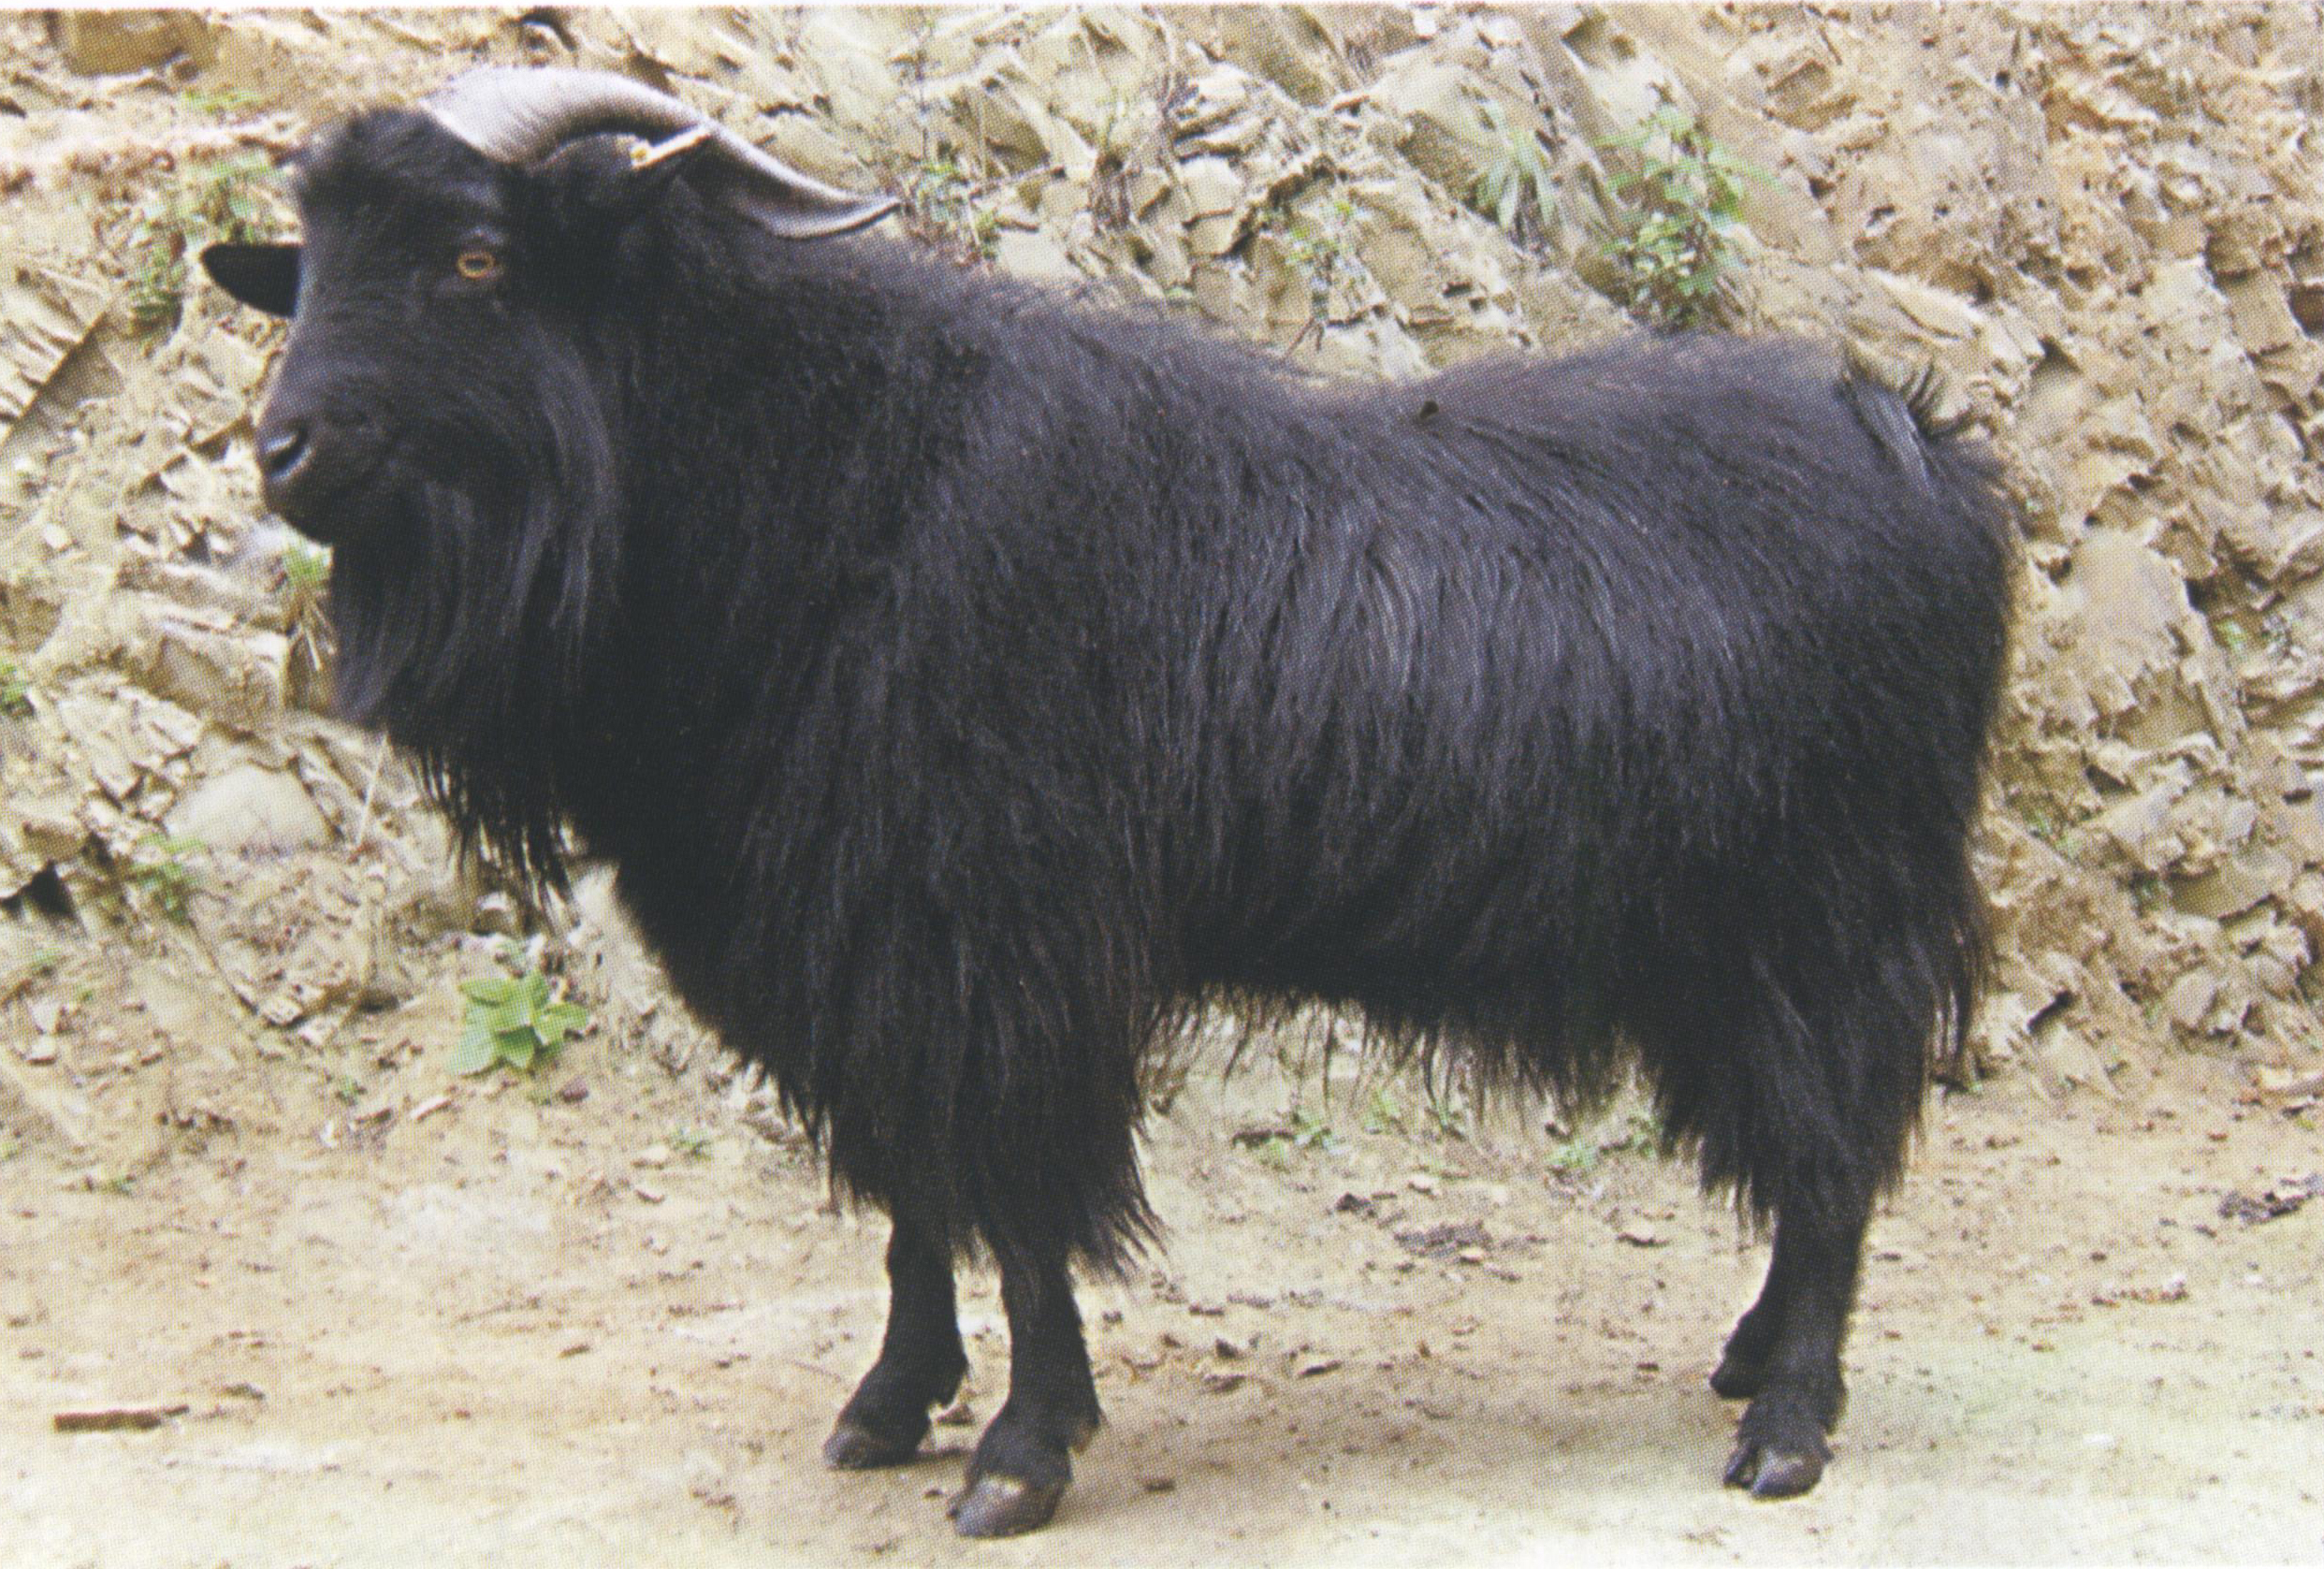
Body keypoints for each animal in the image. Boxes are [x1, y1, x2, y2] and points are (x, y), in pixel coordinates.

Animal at [204, 66, 2016, 1537]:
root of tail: (1916, 442)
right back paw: (1746, 1360)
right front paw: (889, 1404)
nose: (281, 452)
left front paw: (1021, 1451)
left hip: (1823, 917)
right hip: (1732, 949)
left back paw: (1786, 1428)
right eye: (312, 261)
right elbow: (910, 1198)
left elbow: (1012, 1202)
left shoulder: (999, 945)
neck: (824, 482)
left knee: (1836, 1161)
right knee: (1811, 1162)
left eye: (474, 256)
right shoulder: (867, 960)